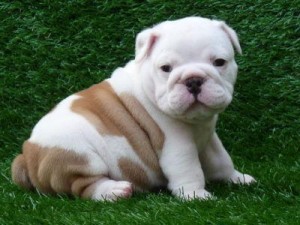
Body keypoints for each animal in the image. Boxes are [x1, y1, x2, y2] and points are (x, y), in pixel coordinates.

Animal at [11, 16, 255, 201]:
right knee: (82, 186)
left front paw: (237, 178)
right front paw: (195, 195)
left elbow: (221, 160)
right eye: (166, 68)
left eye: (220, 62)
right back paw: (115, 190)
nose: (193, 80)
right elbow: (188, 167)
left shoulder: (209, 138)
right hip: (79, 157)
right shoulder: (175, 141)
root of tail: (26, 155)